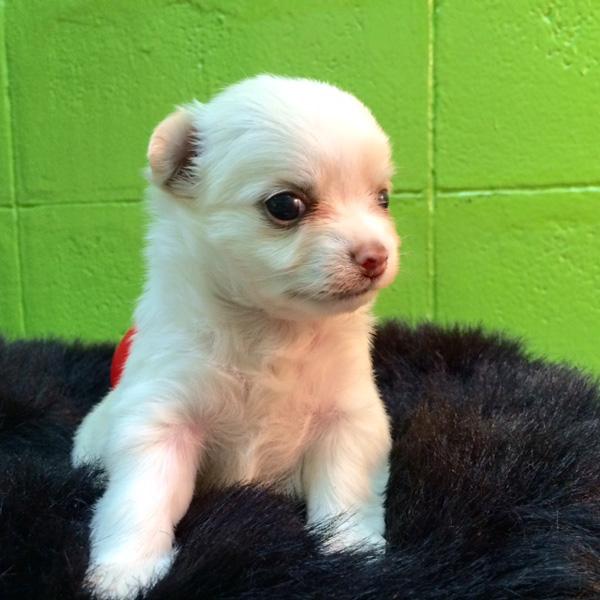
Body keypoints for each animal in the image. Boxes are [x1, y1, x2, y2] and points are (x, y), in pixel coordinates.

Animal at [72, 75, 400, 599]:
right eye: (286, 205)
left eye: (383, 198)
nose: (376, 256)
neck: (271, 328)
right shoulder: (161, 419)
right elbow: (139, 498)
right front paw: (126, 572)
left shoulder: (348, 419)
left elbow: (345, 492)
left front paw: (352, 556)